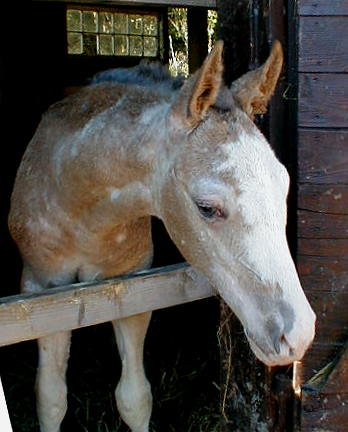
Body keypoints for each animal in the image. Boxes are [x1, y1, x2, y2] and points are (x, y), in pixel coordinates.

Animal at [10, 41, 316, 432]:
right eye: (206, 207)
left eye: (284, 186)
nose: (298, 335)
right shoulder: (42, 295)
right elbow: (50, 399)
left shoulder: (132, 289)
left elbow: (134, 398)